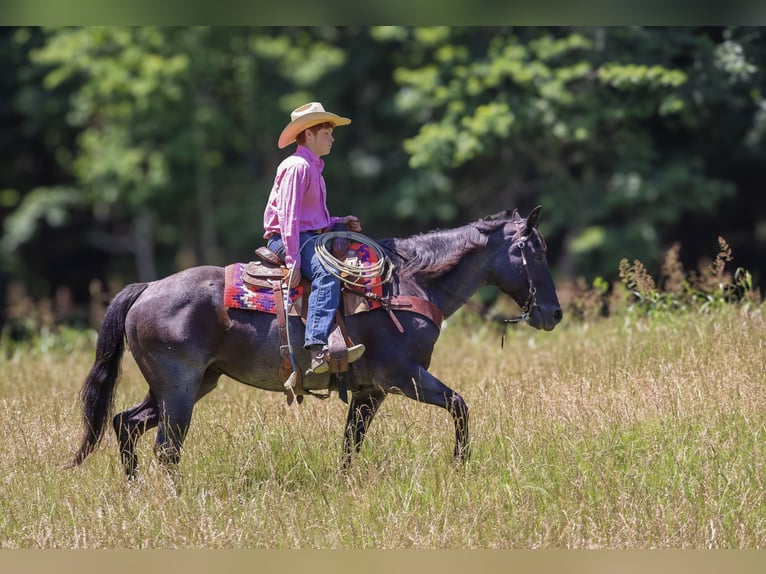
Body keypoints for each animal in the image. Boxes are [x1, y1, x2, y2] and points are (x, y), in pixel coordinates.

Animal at [67, 207, 564, 482]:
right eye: (535, 250)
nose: (554, 314)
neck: (408, 285)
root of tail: (147, 289)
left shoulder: (370, 391)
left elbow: (350, 443)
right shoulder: (402, 377)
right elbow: (460, 405)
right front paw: (460, 467)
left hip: (186, 386)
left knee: (125, 424)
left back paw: (136, 490)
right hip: (179, 390)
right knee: (165, 449)